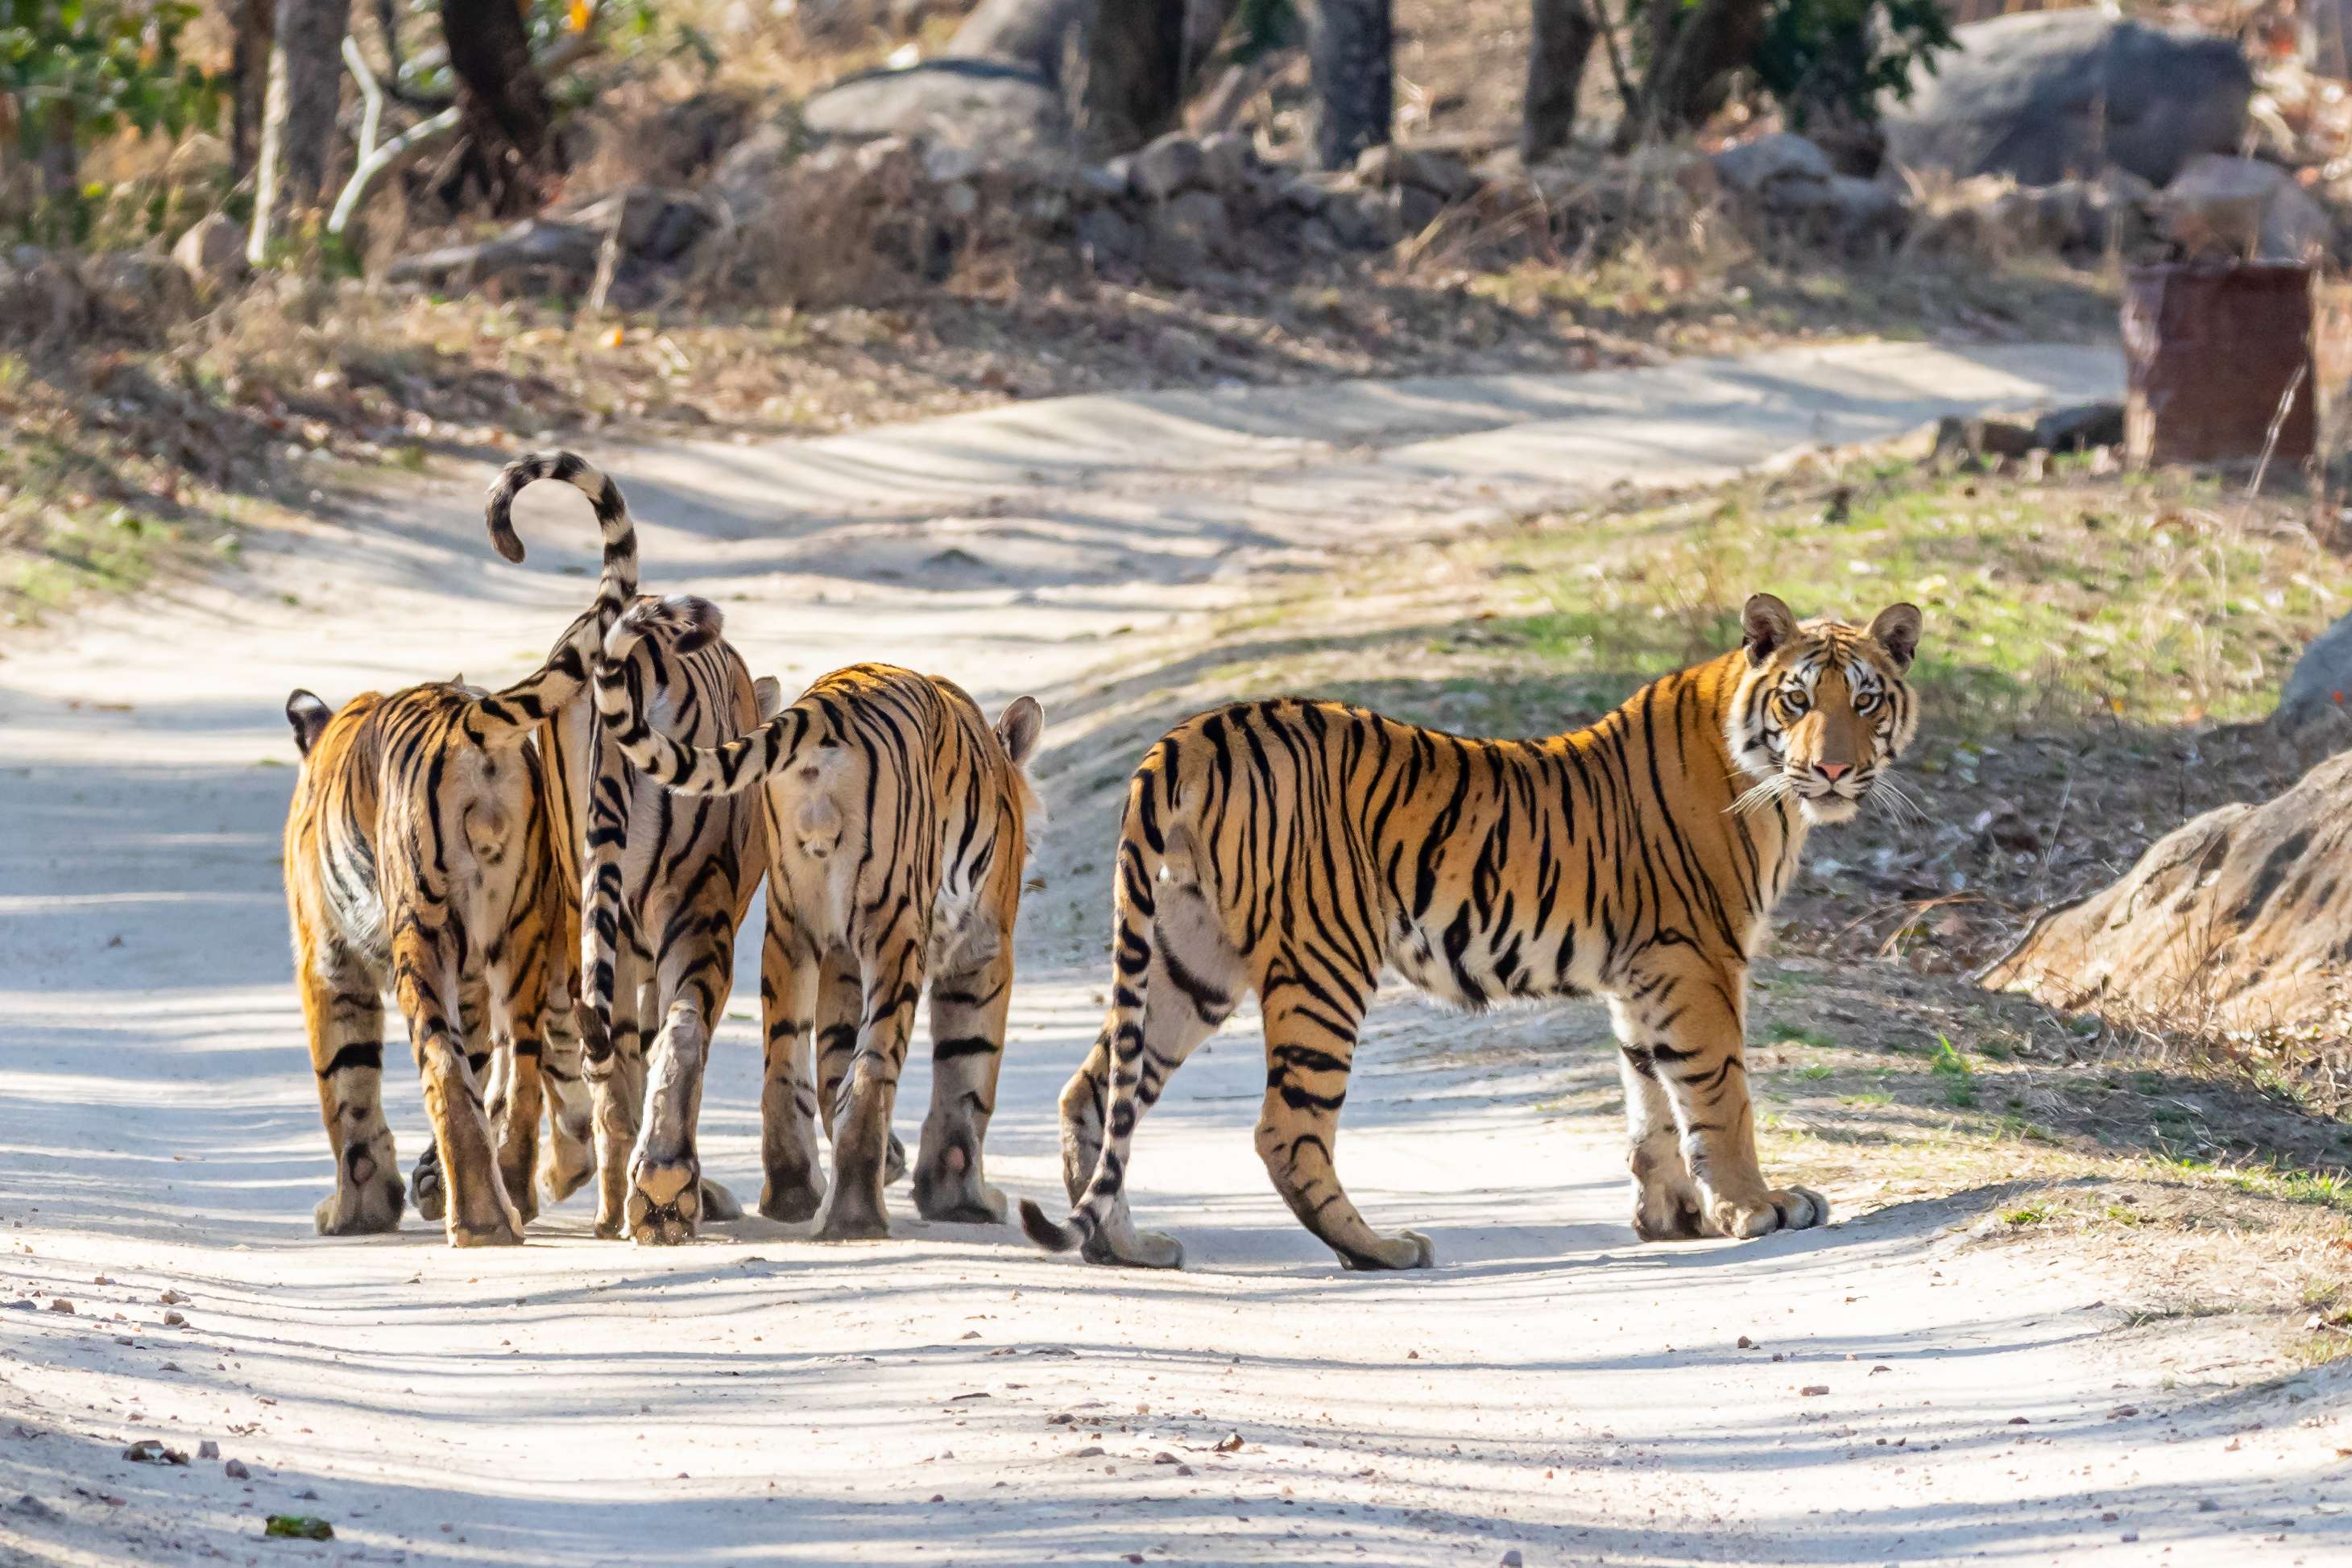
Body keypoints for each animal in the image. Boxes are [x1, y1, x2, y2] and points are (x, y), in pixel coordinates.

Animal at [281, 454, 639, 1247]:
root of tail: (467, 721)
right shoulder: (472, 975)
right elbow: (486, 1072)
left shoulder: (327, 960)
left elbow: (346, 1091)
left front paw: (353, 1211)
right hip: (519, 933)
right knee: (524, 1072)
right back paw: (508, 1194)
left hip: (419, 931)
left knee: (444, 1066)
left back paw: (478, 1218)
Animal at [591, 597, 1045, 1241]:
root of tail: (828, 707)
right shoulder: (983, 947)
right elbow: (967, 1074)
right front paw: (964, 1200)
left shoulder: (837, 952)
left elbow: (831, 1062)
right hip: (894, 929)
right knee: (872, 1070)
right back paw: (855, 1215)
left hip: (789, 927)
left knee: (782, 1067)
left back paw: (791, 1194)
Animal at [1019, 593, 1923, 1271]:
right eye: (1797, 701)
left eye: (1865, 700)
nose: (1833, 769)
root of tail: (1193, 731)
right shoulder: (1697, 959)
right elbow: (1719, 1092)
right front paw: (1757, 1206)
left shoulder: (1643, 976)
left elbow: (1650, 1099)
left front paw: (1674, 1219)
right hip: (1324, 959)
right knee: (1286, 1130)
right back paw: (1381, 1249)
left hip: (1188, 957)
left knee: (1095, 1090)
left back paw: (1126, 1246)